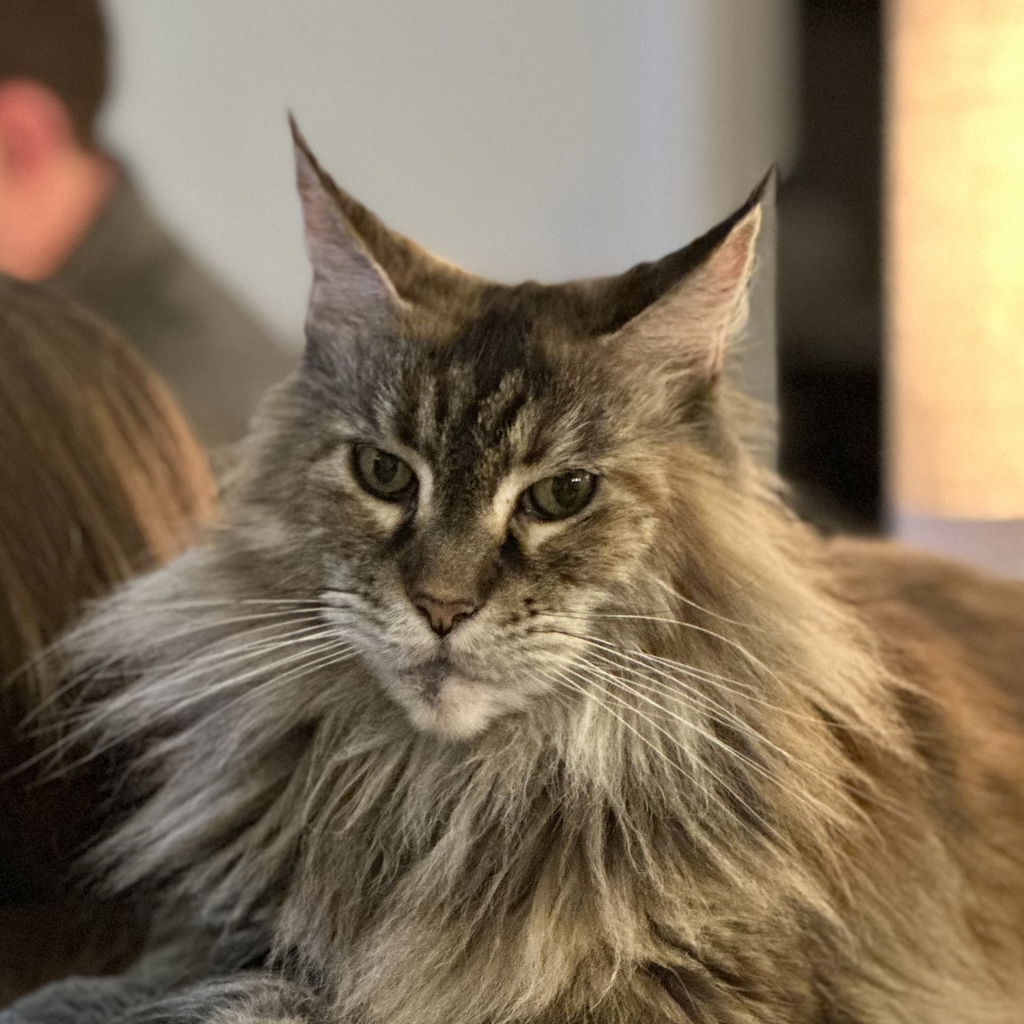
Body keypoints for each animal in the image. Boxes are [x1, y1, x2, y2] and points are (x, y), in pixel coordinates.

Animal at [5, 118, 1024, 1024]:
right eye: (384, 473)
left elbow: (270, 1002)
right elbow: (195, 975)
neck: (448, 792)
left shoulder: (700, 993)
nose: (441, 605)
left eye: (562, 494)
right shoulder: (226, 929)